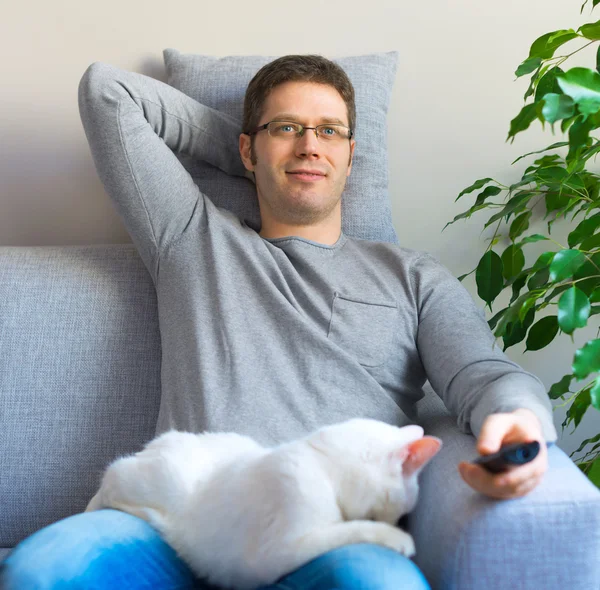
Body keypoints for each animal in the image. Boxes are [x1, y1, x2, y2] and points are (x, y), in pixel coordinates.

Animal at [85, 418, 440, 588]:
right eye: (401, 513)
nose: (398, 523)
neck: (321, 461)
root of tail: (160, 442)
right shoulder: (276, 554)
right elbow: (349, 529)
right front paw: (397, 538)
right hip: (149, 480)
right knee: (110, 477)